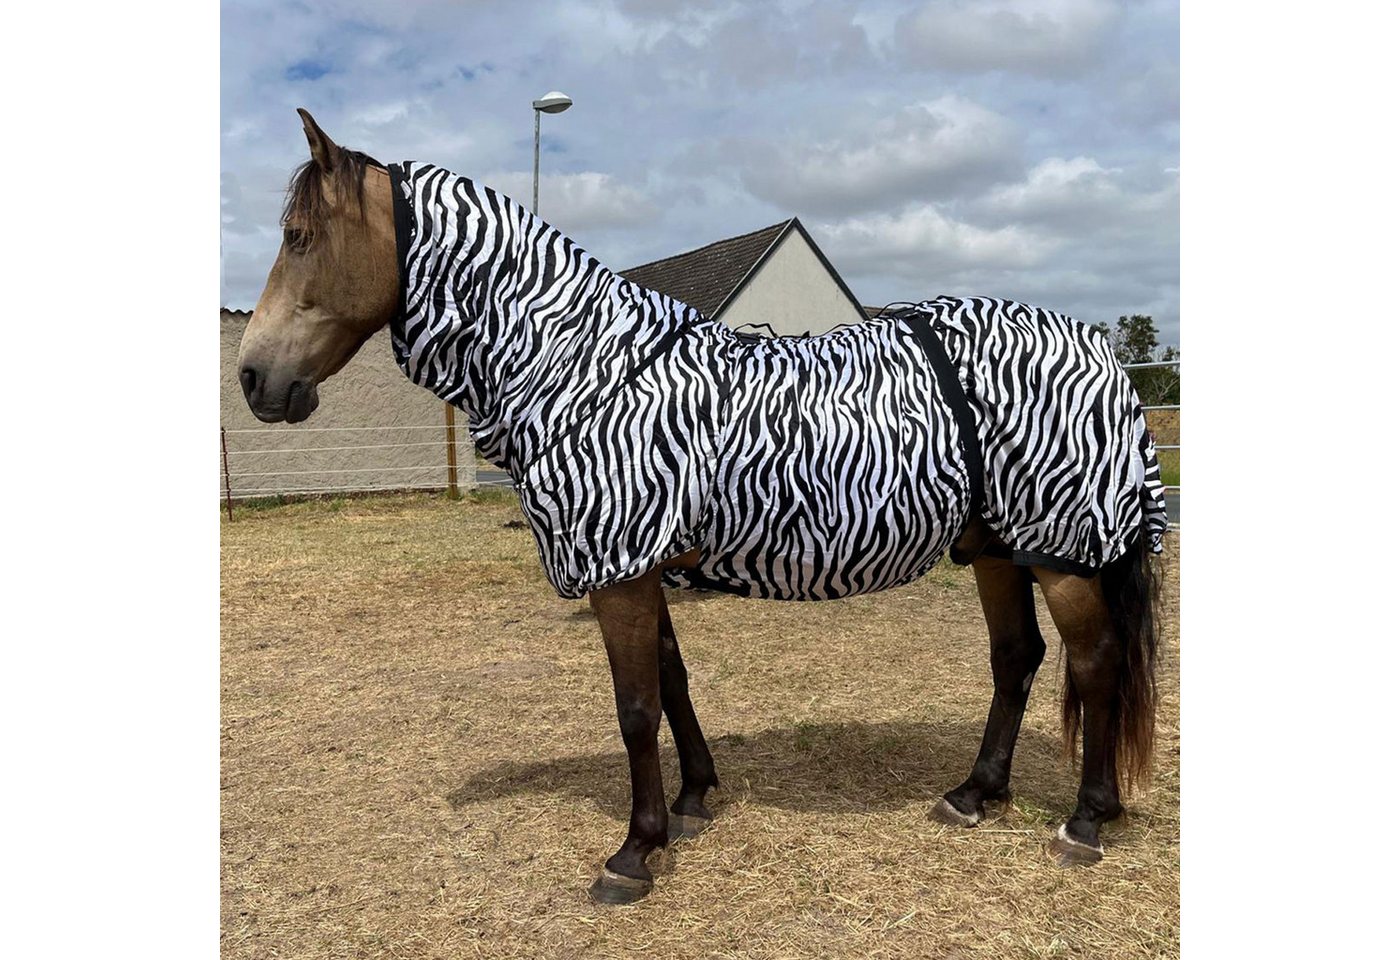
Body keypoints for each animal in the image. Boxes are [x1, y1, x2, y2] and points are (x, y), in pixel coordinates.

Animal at [237, 109, 1168, 905]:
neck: (582, 369)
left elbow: (635, 708)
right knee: (1017, 658)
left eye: (297, 237)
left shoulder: (619, 568)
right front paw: (692, 802)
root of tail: (1096, 349)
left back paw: (1086, 821)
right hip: (999, 547)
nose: (252, 379)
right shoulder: (643, 562)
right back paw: (975, 794)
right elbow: (672, 682)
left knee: (1094, 663)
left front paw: (634, 850)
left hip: (1060, 552)